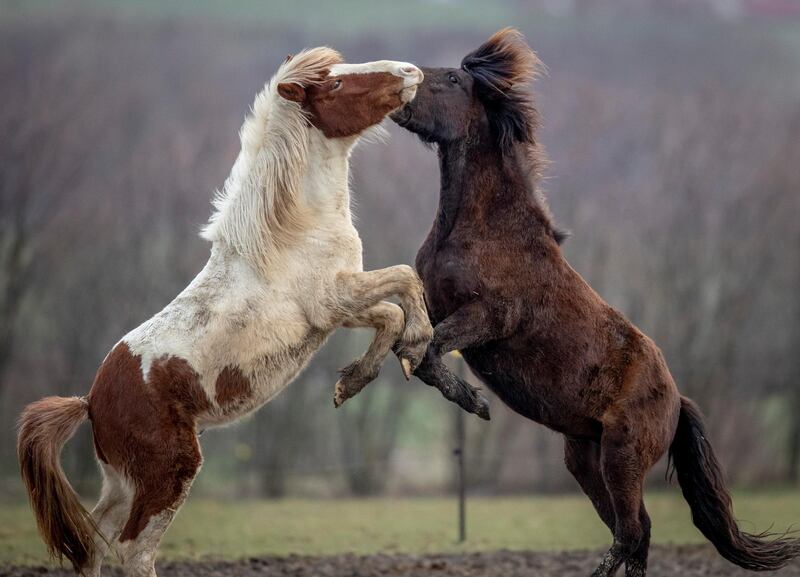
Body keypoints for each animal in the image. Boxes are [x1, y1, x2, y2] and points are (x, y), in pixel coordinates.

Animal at [15, 49, 484, 576]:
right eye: (335, 84)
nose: (409, 72)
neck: (292, 230)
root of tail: (91, 401)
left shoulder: (337, 311)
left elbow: (391, 311)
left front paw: (356, 379)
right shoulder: (332, 299)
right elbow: (404, 285)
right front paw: (409, 352)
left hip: (121, 481)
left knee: (93, 543)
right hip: (167, 473)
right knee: (133, 549)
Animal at [394, 28, 800, 576]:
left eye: (454, 79)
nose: (400, 85)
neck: (481, 230)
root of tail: (677, 401)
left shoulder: (489, 317)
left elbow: (430, 351)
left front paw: (475, 402)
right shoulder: (436, 307)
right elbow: (410, 347)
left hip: (621, 457)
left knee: (630, 531)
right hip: (584, 458)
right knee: (636, 532)